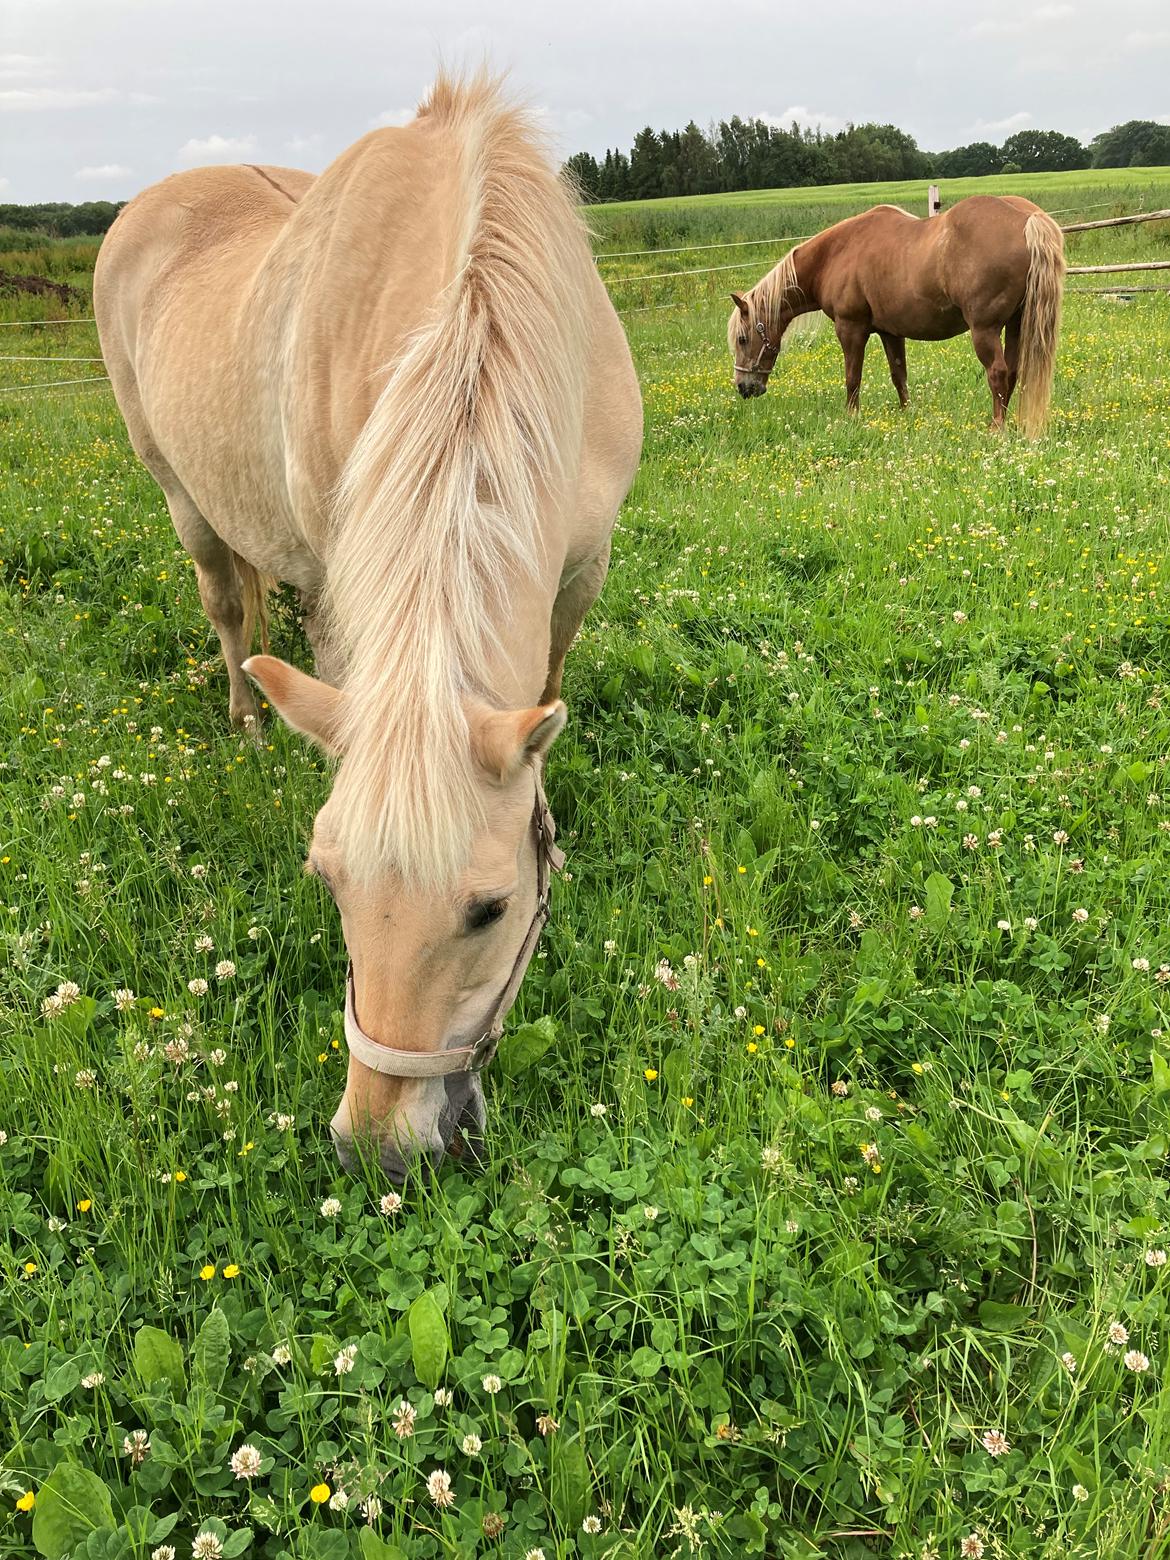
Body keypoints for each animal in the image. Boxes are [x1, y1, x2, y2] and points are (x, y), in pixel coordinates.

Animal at [98, 70, 652, 1173]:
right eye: (329, 884)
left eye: (489, 908)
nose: (379, 1151)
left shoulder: (581, 573)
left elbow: (548, 689)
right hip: (179, 493)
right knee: (227, 603)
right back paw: (247, 718)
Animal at [733, 199, 1073, 439]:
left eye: (742, 338)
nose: (744, 387)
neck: (837, 253)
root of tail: (1027, 219)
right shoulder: (890, 332)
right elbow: (899, 375)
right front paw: (908, 414)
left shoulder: (851, 329)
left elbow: (852, 378)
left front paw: (851, 418)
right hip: (1017, 324)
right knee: (1013, 372)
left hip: (985, 330)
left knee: (998, 373)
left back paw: (996, 428)